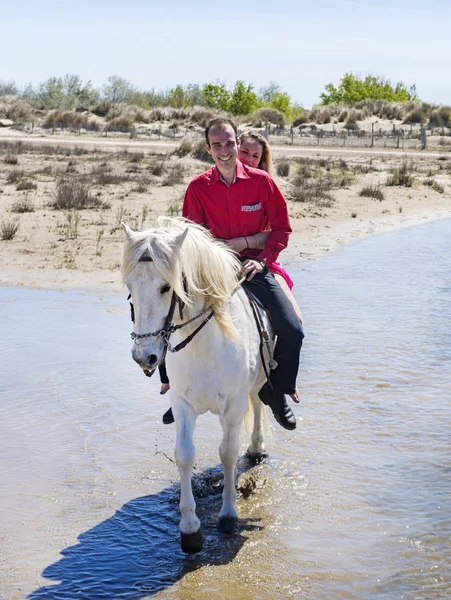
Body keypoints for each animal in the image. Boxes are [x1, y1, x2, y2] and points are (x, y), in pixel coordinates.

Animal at [122, 217, 270, 552]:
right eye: (129, 287)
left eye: (166, 287)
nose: (144, 357)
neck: (204, 345)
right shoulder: (182, 404)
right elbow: (184, 455)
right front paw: (189, 529)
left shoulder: (233, 405)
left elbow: (228, 453)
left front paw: (228, 515)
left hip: (255, 385)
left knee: (258, 403)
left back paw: (257, 448)